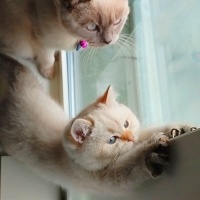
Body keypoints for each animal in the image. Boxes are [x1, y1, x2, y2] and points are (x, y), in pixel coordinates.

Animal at [0, 0, 130, 79]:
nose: (108, 41)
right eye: (92, 27)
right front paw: (48, 73)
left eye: (117, 22)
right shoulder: (42, 41)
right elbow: (48, 59)